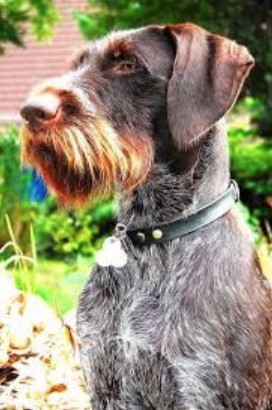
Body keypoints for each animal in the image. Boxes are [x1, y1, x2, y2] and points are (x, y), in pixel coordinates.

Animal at [21, 23, 272, 410]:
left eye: (128, 64)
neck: (153, 232)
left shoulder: (201, 390)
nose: (31, 110)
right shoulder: (105, 383)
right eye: (78, 64)